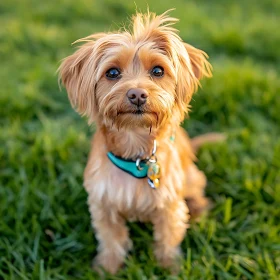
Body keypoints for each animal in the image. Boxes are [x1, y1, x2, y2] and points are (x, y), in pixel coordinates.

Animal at [58, 10, 213, 274]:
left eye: (158, 71)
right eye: (112, 73)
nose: (137, 94)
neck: (135, 150)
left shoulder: (169, 205)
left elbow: (167, 239)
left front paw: (171, 268)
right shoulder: (103, 204)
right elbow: (111, 240)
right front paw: (107, 269)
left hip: (190, 177)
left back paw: (199, 208)